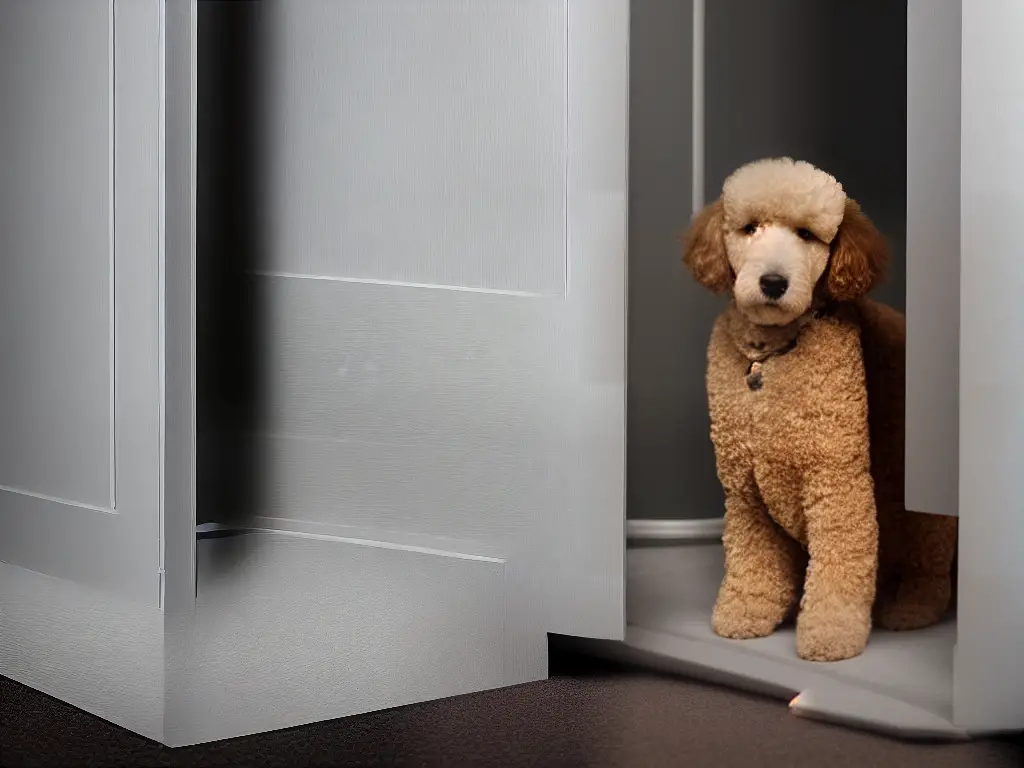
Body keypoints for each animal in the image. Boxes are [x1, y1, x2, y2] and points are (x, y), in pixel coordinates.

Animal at [684, 156, 954, 663]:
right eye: (750, 228)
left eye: (807, 234)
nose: (773, 282)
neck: (769, 357)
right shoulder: (745, 489)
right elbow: (753, 561)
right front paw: (746, 611)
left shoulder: (836, 479)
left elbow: (840, 564)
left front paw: (831, 633)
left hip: (924, 513)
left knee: (929, 566)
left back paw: (911, 609)